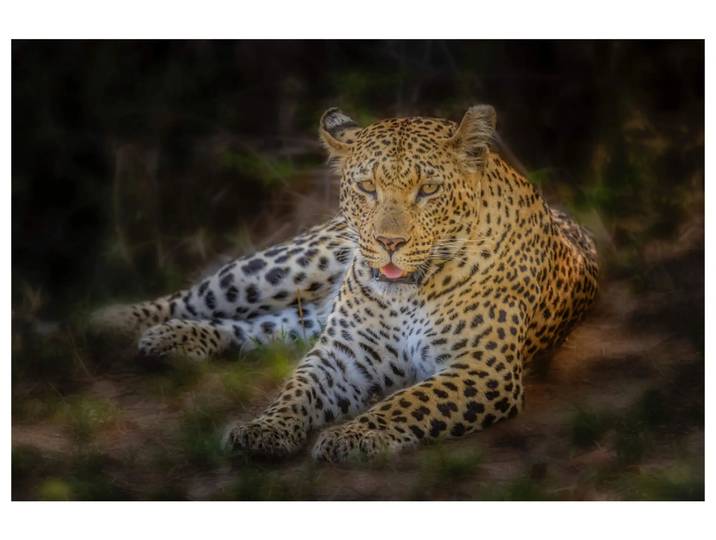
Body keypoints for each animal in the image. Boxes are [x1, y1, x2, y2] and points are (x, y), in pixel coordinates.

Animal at [90, 105, 599, 462]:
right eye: (368, 187)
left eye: (428, 190)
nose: (389, 243)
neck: (409, 294)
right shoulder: (343, 354)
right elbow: (296, 390)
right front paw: (264, 429)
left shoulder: (482, 369)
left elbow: (410, 401)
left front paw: (355, 434)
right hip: (289, 266)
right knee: (204, 294)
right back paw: (112, 322)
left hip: (305, 314)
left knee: (257, 328)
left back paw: (172, 340)